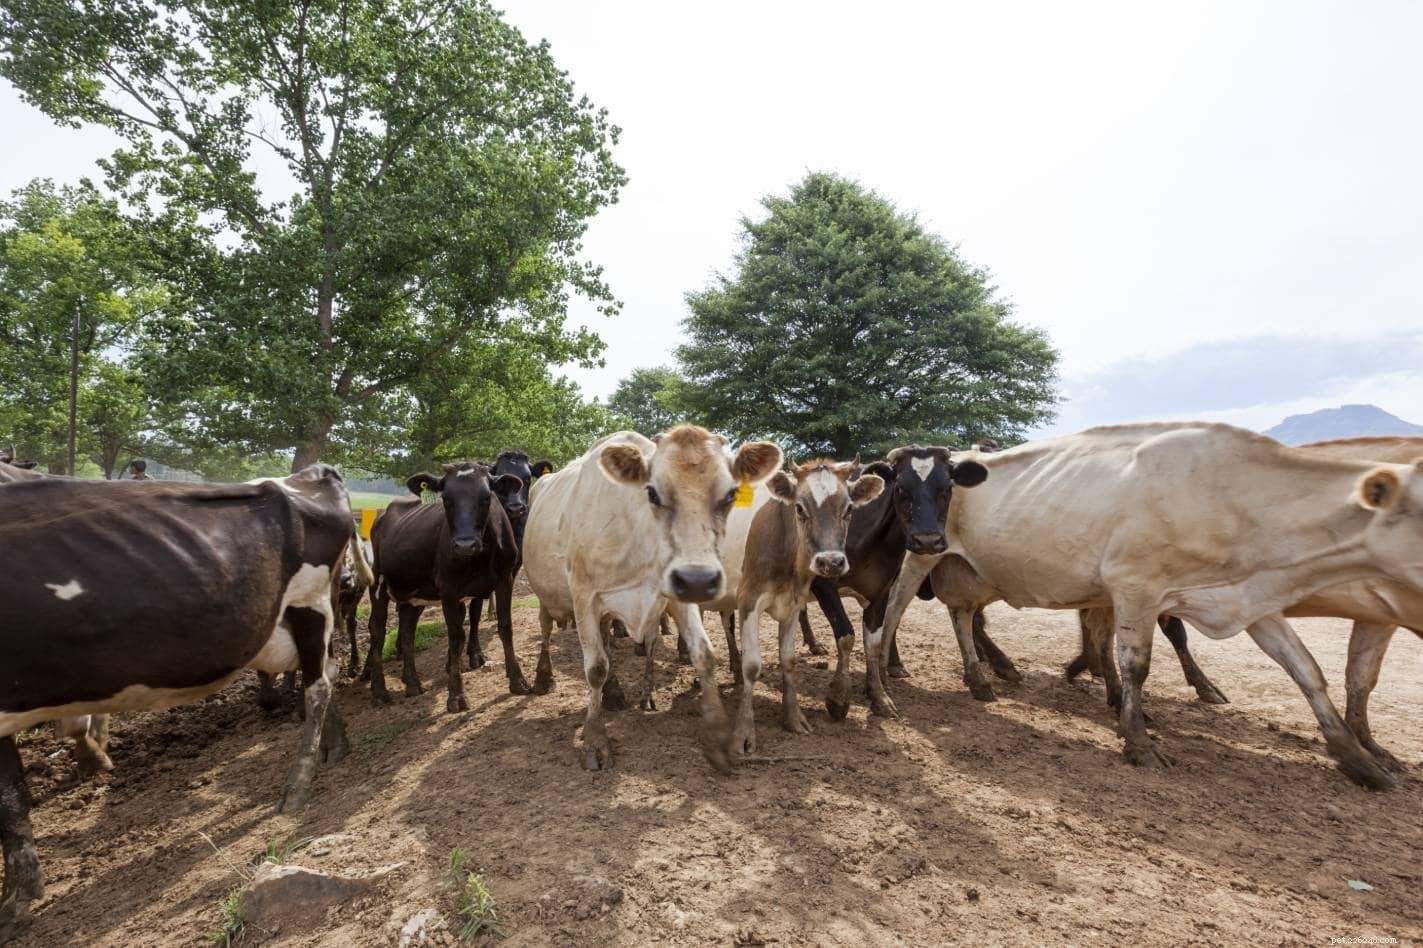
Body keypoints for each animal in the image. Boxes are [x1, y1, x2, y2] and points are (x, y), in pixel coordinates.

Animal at [0, 465, 364, 940]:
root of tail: (310, 473)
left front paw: (16, 900)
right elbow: (12, 797)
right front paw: (20, 891)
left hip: (311, 600)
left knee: (318, 684)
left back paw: (298, 784)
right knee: (323, 672)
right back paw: (335, 748)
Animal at [364, 462, 525, 713]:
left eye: (486, 497)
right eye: (446, 499)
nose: (465, 545)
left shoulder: (505, 579)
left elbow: (505, 626)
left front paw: (518, 680)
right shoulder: (449, 589)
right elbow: (456, 636)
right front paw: (456, 696)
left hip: (413, 593)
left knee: (408, 630)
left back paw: (412, 683)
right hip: (379, 584)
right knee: (377, 630)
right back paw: (379, 691)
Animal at [521, 426, 782, 771]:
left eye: (730, 495)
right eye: (653, 493)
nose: (699, 580)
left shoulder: (678, 592)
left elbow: (704, 654)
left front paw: (717, 737)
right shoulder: (583, 596)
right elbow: (595, 668)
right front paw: (595, 741)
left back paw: (614, 693)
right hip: (546, 596)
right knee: (547, 629)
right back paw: (543, 677)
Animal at [731, 460, 884, 753]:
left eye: (849, 509)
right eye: (799, 508)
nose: (831, 562)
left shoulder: (794, 604)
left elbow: (788, 660)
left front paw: (793, 718)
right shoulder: (748, 599)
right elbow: (752, 665)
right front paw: (743, 732)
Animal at [874, 422, 1423, 789]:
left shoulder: (1249, 599)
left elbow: (1308, 670)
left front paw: (1359, 759)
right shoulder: (1135, 587)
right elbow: (1136, 664)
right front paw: (1136, 740)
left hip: (974, 571)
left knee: (964, 614)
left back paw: (981, 678)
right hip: (925, 555)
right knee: (896, 610)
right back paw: (887, 675)